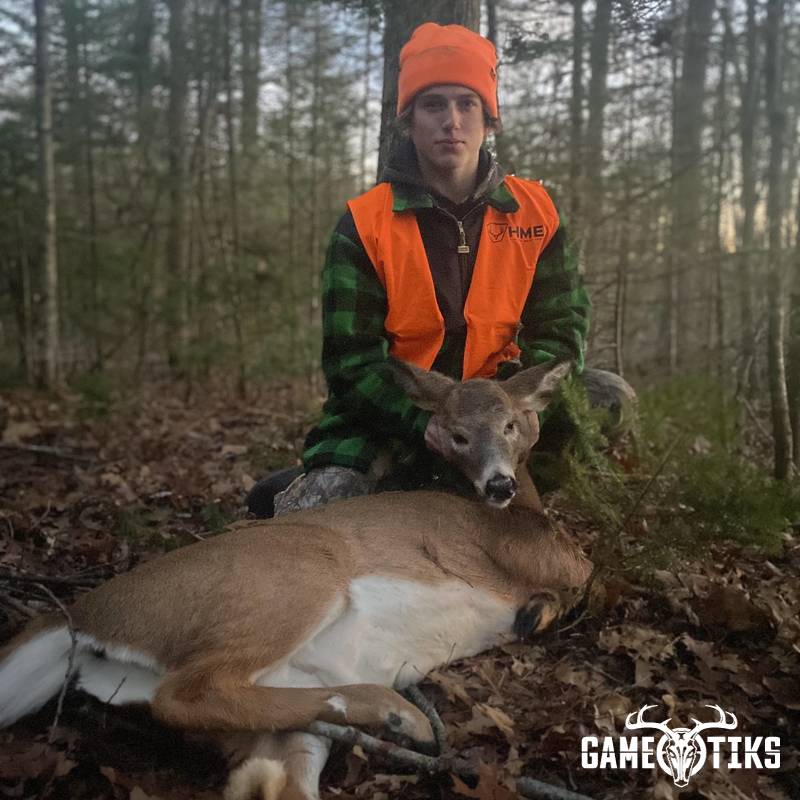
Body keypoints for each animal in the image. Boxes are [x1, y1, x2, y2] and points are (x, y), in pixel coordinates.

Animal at [0, 360, 591, 800]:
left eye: (511, 423)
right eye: (458, 435)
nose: (498, 484)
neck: (523, 514)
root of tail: (81, 613)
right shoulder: (548, 556)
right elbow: (581, 578)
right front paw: (534, 612)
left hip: (278, 718)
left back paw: (388, 718)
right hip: (298, 577)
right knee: (185, 693)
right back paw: (402, 715)